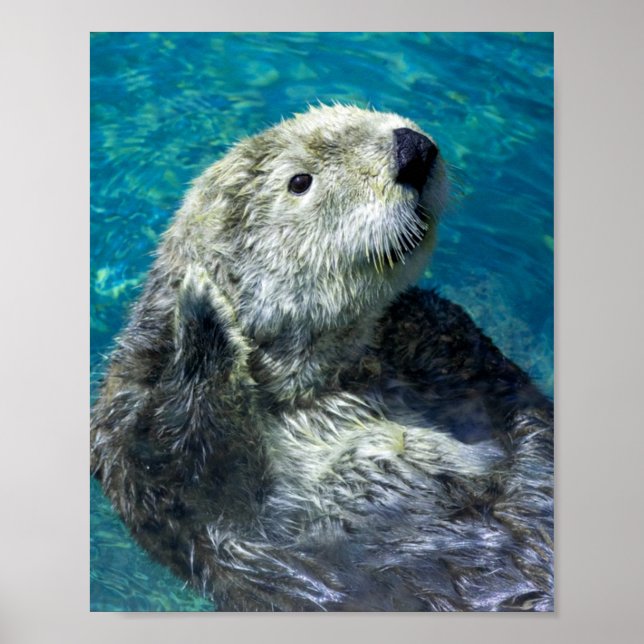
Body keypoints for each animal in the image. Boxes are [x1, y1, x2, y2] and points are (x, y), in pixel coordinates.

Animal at [91, 105, 553, 611]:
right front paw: (201, 308)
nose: (412, 148)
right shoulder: (141, 449)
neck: (325, 383)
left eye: (366, 111)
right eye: (300, 181)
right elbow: (192, 467)